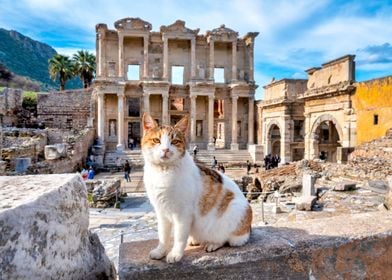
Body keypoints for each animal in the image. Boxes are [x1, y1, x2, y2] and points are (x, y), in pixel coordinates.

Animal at [141, 112, 251, 264]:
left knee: (227, 239)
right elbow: (163, 235)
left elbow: (179, 236)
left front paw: (175, 254)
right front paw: (160, 251)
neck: (163, 171)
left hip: (235, 213)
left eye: (174, 141)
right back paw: (195, 240)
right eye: (156, 140)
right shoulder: (161, 211)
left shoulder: (183, 213)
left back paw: (212, 244)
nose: (165, 149)